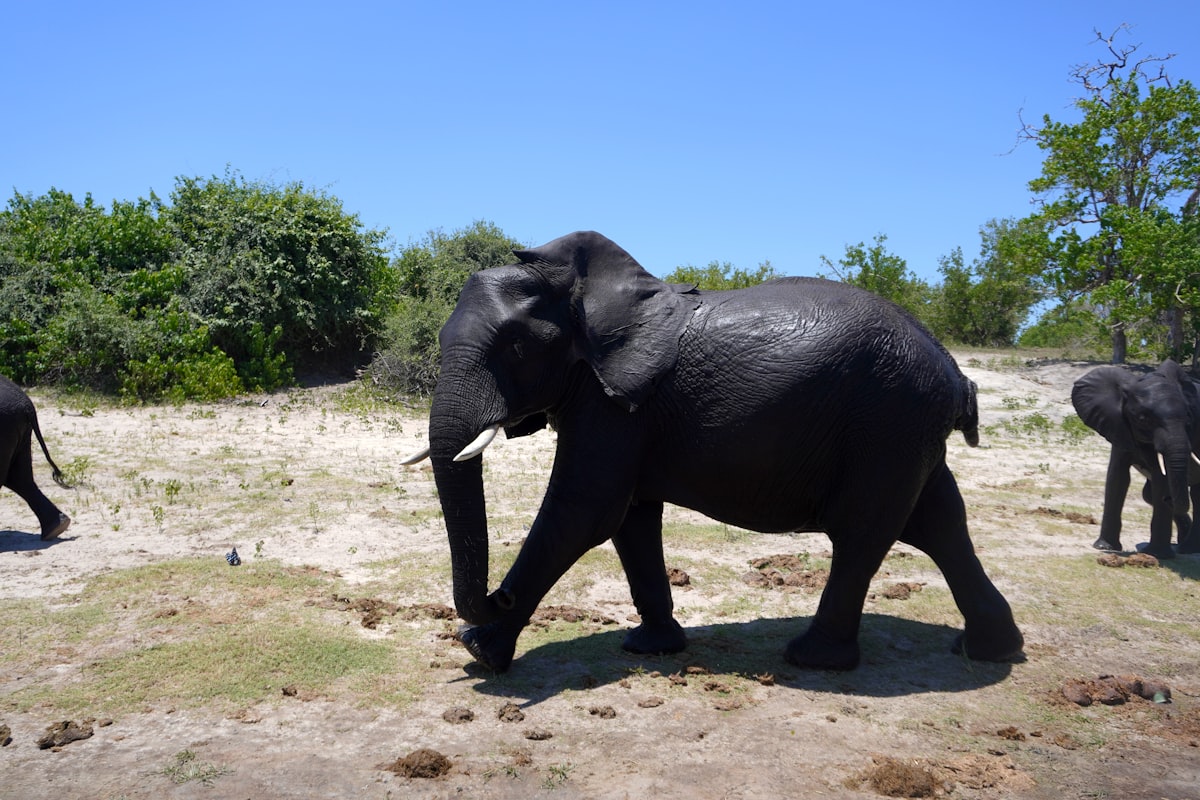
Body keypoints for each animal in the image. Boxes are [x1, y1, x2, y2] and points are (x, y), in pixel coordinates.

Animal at [403, 231, 1023, 673]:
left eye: (516, 346)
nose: (498, 598)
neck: (581, 292)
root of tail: (954, 371)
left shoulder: (615, 403)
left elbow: (584, 510)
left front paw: (481, 651)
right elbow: (630, 518)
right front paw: (650, 648)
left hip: (887, 420)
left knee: (865, 532)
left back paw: (813, 660)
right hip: (906, 429)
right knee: (939, 521)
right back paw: (988, 650)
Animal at [1071, 359, 1200, 559]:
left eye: (1188, 418)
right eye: (1142, 419)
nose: (1168, 499)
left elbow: (1161, 479)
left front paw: (1157, 555)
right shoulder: (1118, 424)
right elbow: (1118, 477)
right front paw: (1104, 547)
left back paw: (1188, 549)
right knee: (1149, 494)